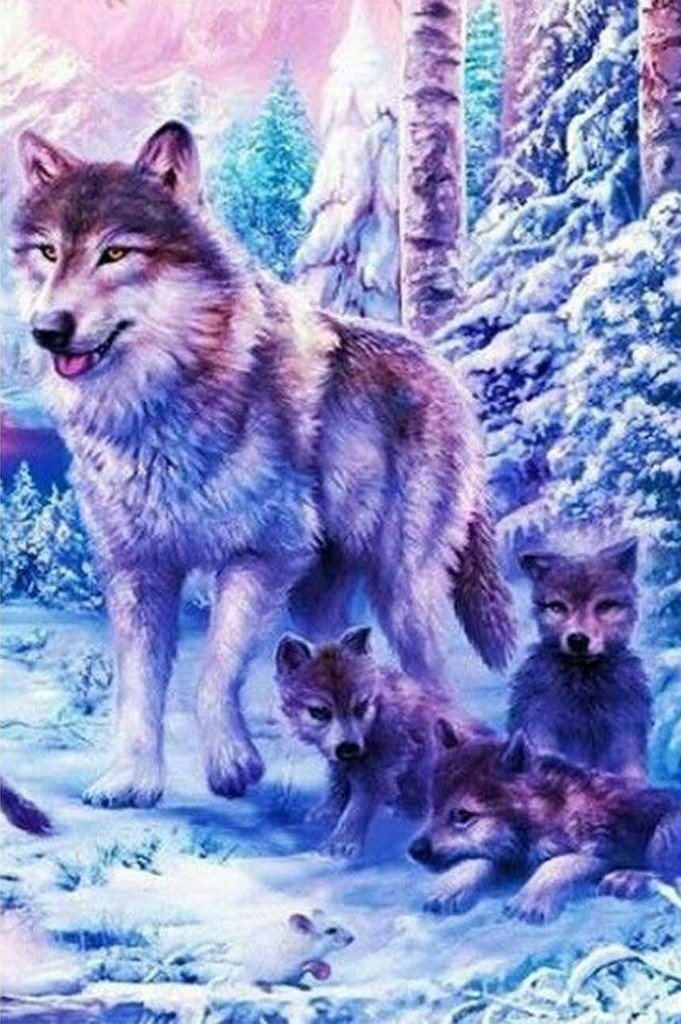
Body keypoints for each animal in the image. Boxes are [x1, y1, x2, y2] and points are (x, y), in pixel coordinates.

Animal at [10, 121, 514, 808]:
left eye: (115, 254)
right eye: (48, 252)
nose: (49, 330)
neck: (156, 409)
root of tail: (448, 374)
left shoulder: (259, 557)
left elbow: (213, 674)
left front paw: (232, 765)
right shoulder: (138, 569)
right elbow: (136, 690)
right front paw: (131, 780)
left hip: (400, 587)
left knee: (431, 680)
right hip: (317, 599)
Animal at [276, 625, 475, 857]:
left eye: (361, 706)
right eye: (319, 712)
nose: (349, 748)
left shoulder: (378, 768)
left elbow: (359, 804)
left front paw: (342, 842)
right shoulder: (342, 762)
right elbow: (337, 783)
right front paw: (328, 812)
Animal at [409, 729, 681, 922]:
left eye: (462, 815)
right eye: (432, 808)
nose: (414, 851)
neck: (548, 812)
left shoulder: (606, 849)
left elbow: (557, 864)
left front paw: (532, 899)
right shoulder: (509, 858)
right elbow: (479, 861)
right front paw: (452, 888)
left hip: (665, 827)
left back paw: (629, 878)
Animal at [508, 538, 651, 779]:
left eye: (604, 606)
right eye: (558, 607)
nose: (577, 639)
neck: (584, 687)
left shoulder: (625, 739)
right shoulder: (539, 727)